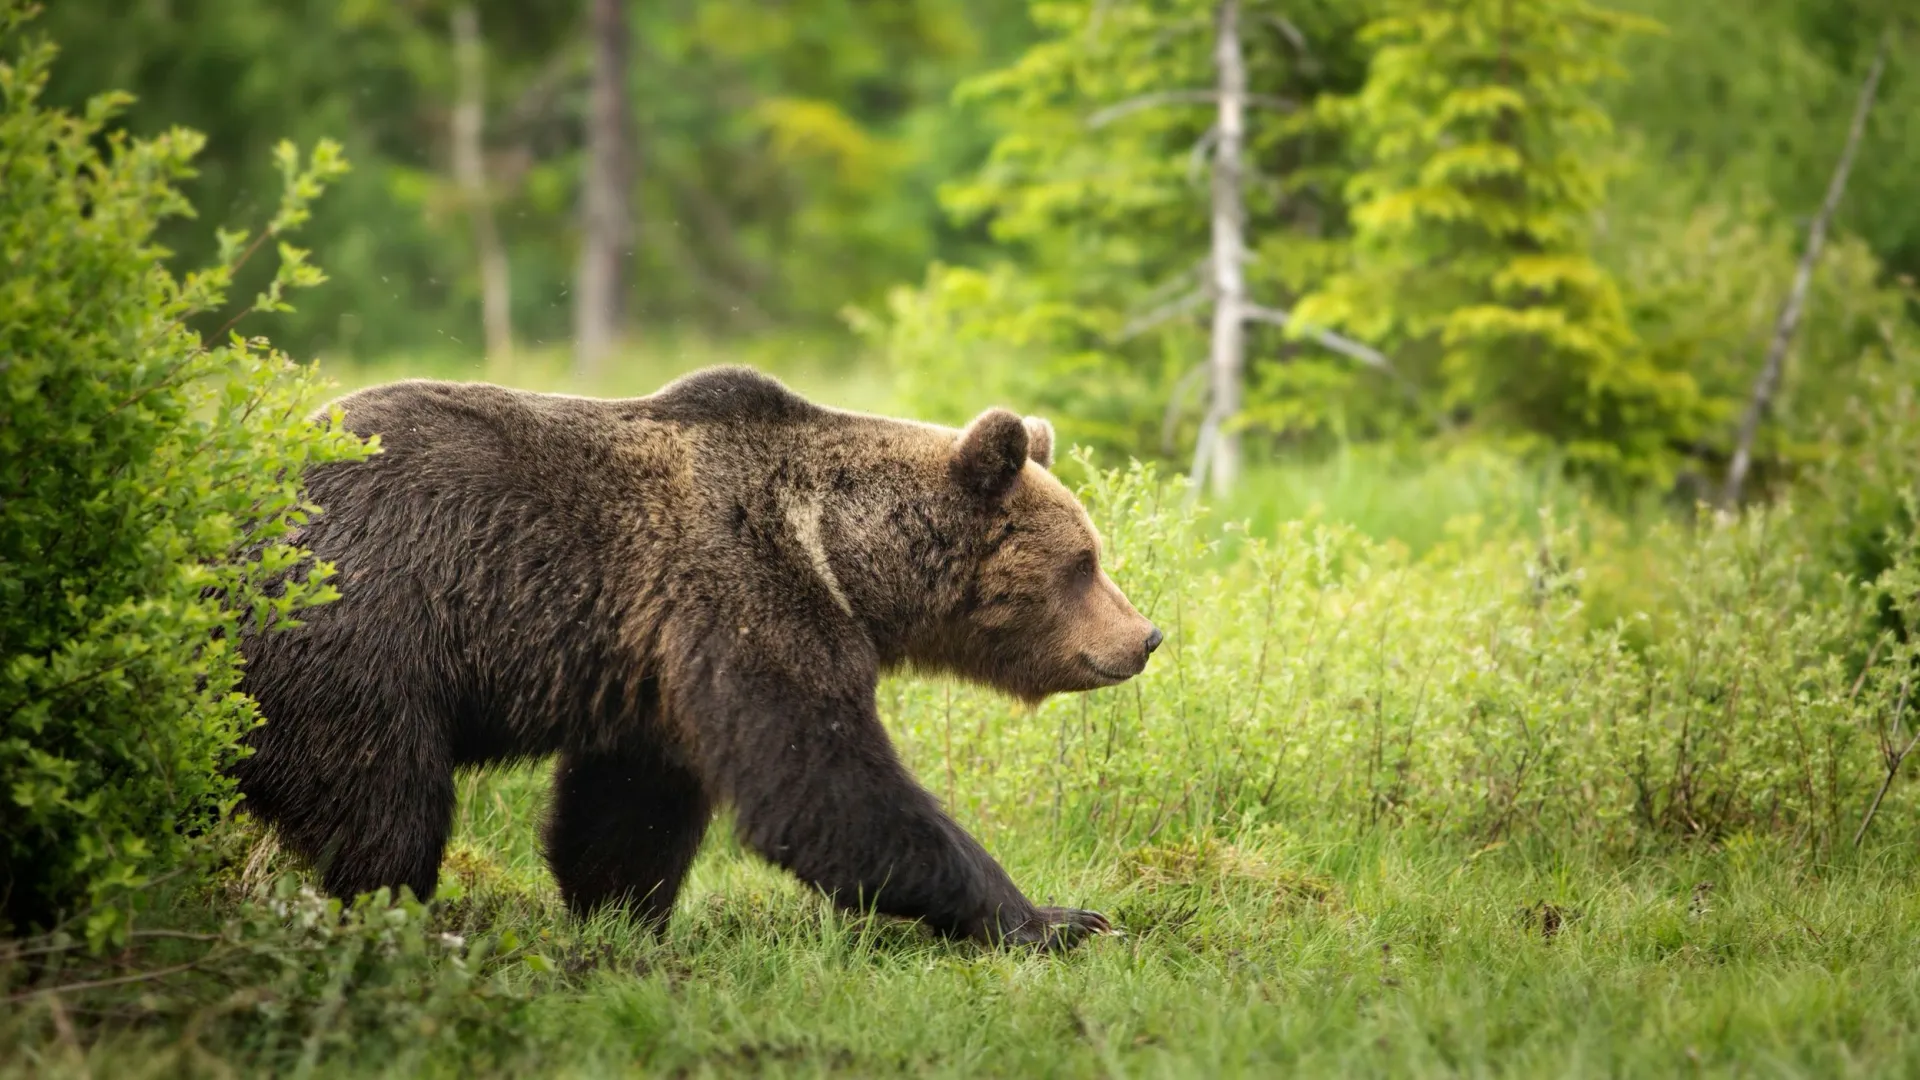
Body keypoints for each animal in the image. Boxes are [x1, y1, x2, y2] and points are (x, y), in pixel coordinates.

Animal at [240, 365, 1167, 945]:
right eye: (1084, 560)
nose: (1145, 637)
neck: (842, 555)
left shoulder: (654, 663)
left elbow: (629, 808)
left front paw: (623, 918)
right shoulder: (746, 597)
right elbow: (823, 783)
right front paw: (1055, 920)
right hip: (353, 637)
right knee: (386, 806)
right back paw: (390, 919)